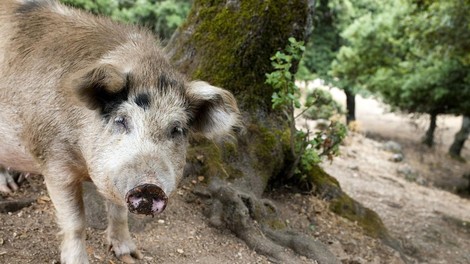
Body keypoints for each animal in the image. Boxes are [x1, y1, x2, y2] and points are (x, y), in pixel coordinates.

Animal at [0, 1, 241, 262]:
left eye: (176, 129)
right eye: (121, 120)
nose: (150, 186)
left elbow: (118, 211)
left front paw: (131, 255)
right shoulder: (53, 160)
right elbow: (75, 222)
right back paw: (9, 188)